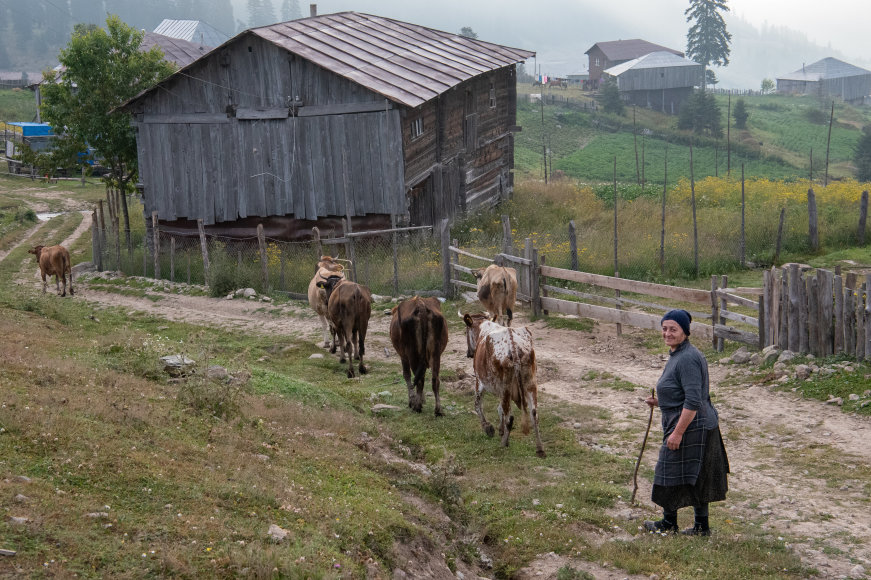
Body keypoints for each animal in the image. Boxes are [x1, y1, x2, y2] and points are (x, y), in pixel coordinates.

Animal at [464, 312, 544, 458]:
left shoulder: (479, 381)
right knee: (534, 414)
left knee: (510, 416)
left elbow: (477, 405)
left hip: (506, 386)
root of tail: (512, 343)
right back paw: (540, 449)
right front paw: (500, 429)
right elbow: (499, 409)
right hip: (530, 383)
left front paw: (488, 428)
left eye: (465, 331)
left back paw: (504, 443)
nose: (469, 353)